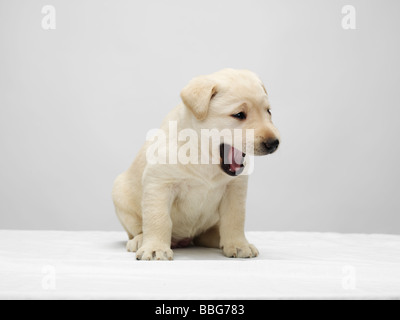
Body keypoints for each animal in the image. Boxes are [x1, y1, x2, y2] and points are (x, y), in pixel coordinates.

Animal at [112, 69, 280, 260]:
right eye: (239, 114)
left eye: (268, 112)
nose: (274, 143)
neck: (204, 156)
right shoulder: (159, 184)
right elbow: (158, 219)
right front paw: (155, 248)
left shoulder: (235, 188)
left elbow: (235, 218)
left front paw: (238, 244)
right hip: (120, 196)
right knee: (136, 230)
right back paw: (140, 240)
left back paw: (219, 238)